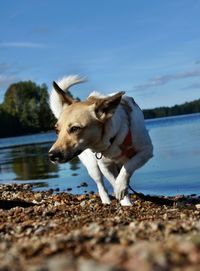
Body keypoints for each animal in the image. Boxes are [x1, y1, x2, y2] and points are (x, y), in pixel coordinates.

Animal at [48, 75, 153, 207]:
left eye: (75, 128)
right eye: (56, 130)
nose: (51, 155)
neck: (113, 138)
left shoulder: (146, 151)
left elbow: (128, 166)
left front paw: (121, 188)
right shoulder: (104, 166)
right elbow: (113, 180)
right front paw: (124, 200)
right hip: (93, 167)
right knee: (100, 185)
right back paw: (106, 200)